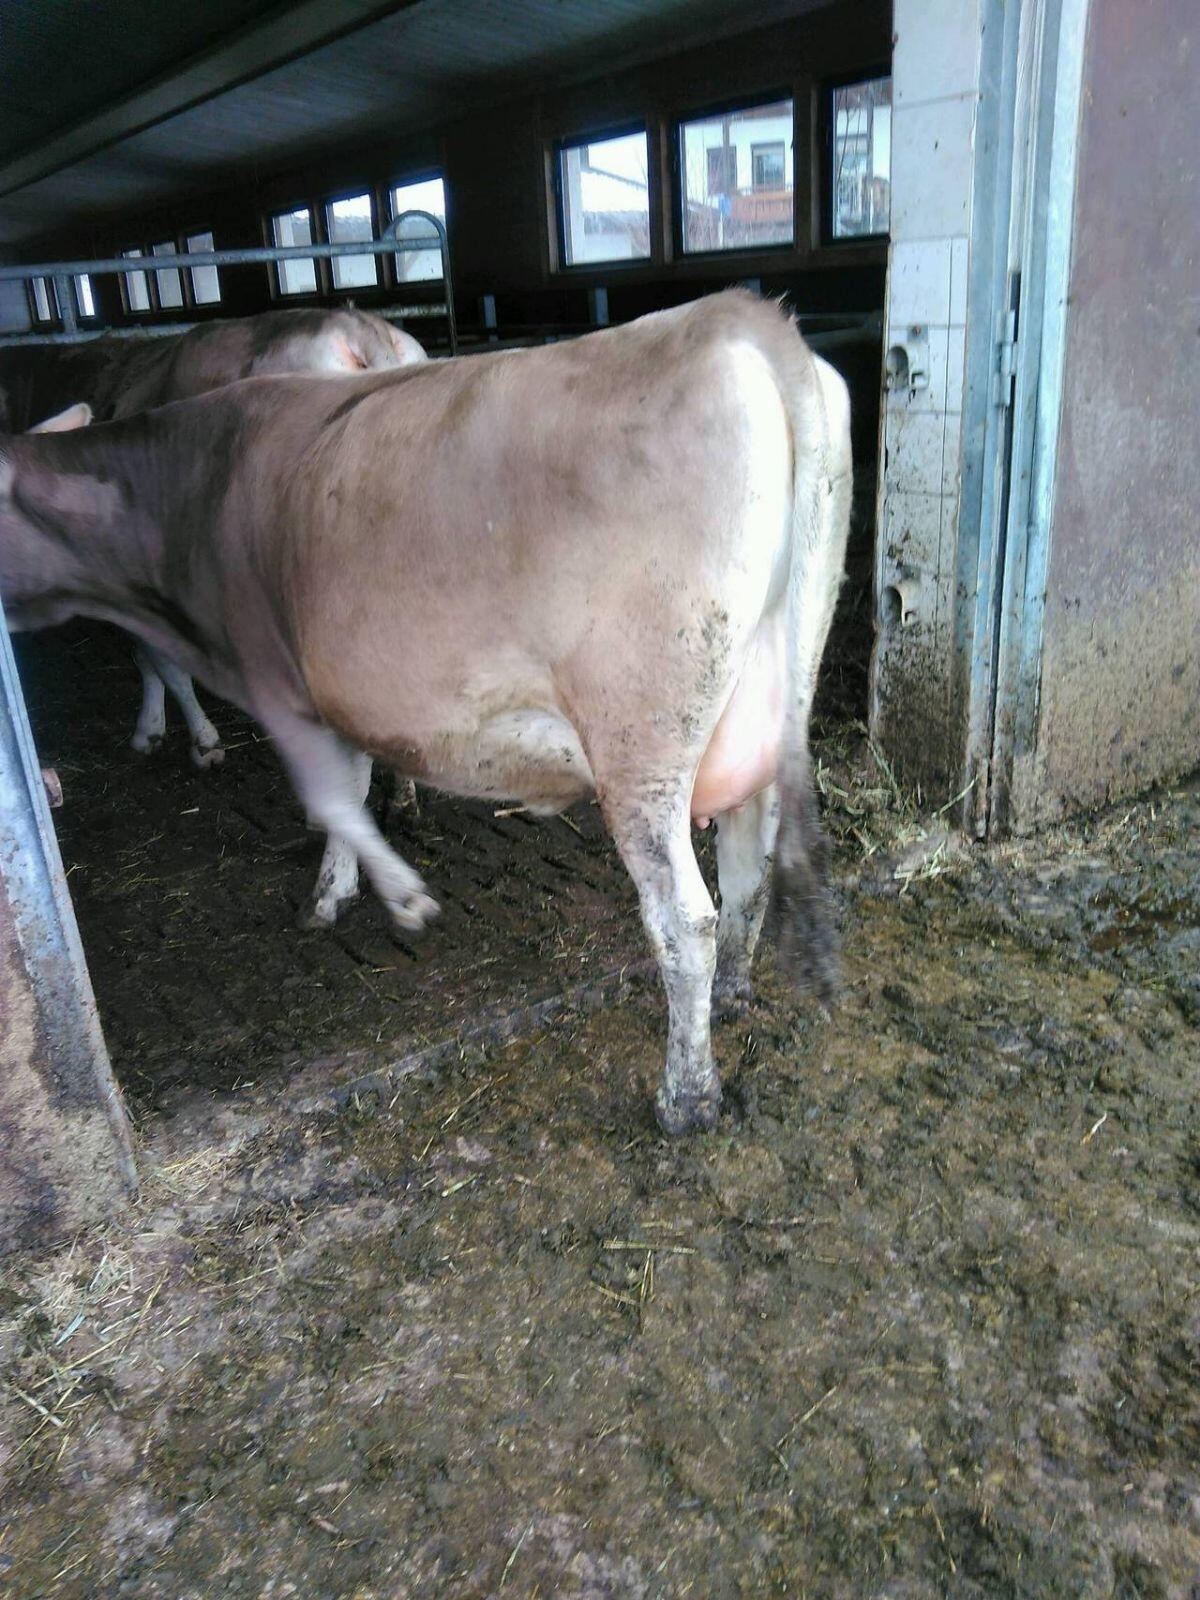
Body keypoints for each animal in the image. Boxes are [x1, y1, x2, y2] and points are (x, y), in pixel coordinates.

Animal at [0, 290, 851, 1132]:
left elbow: (325, 794)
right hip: (773, 694)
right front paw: (353, 875)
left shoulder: (278, 681)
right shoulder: (343, 690)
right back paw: (736, 996)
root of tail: (731, 316)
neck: (194, 484)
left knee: (684, 918)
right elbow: (354, 781)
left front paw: (382, 895)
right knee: (749, 865)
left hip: (643, 743)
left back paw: (687, 1096)